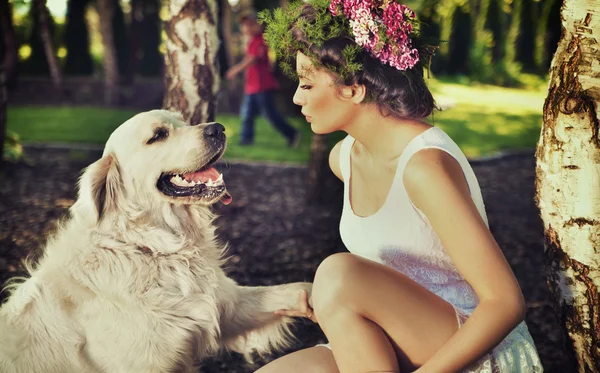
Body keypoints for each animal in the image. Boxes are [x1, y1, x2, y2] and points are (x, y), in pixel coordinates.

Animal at [1, 109, 314, 372]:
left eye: (184, 121)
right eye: (158, 135)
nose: (219, 128)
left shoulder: (227, 305)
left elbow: (296, 289)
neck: (156, 248)